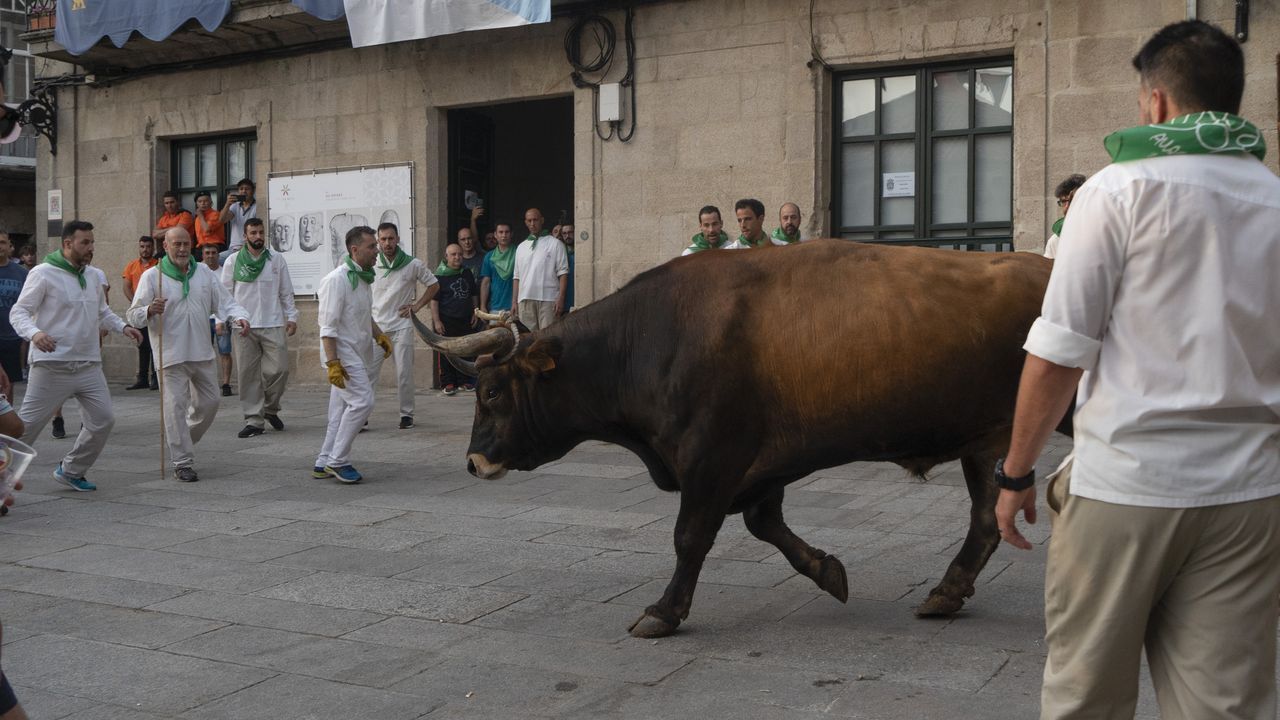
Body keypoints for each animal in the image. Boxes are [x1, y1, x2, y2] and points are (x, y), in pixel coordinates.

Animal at [412, 239, 1059, 632]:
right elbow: (765, 525)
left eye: (492, 392)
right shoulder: (761, 467)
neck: (651, 338)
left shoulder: (712, 459)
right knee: (986, 521)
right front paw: (828, 571)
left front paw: (664, 611)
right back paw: (946, 593)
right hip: (986, 440)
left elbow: (691, 537)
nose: (474, 462)